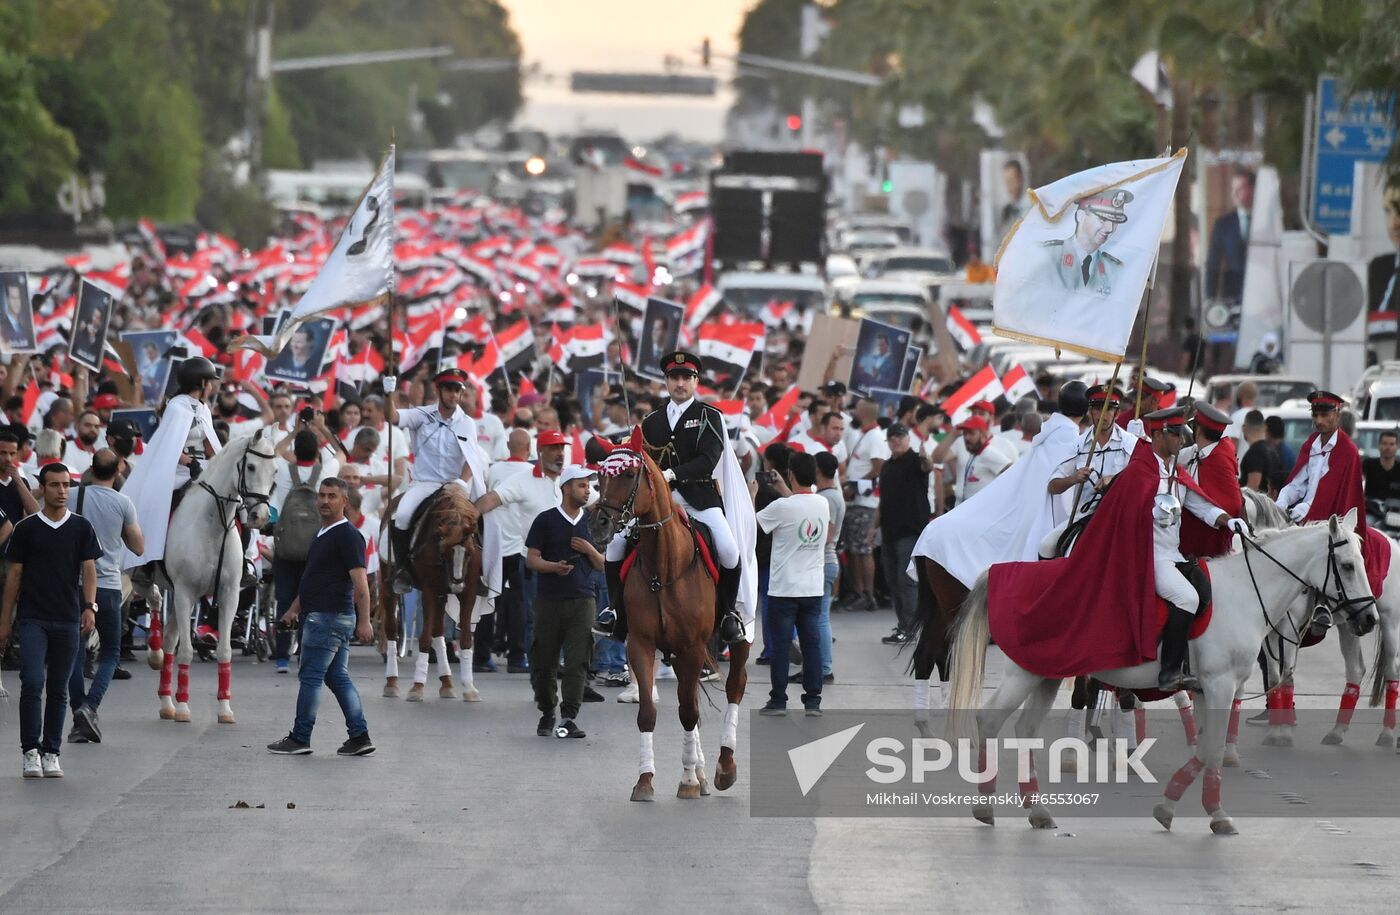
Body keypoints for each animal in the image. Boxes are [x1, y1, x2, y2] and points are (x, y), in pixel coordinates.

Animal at [135, 433, 277, 727]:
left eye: (275, 471)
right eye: (251, 467)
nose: (260, 517)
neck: (211, 525)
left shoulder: (228, 594)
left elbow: (224, 650)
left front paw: (224, 709)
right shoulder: (185, 592)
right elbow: (187, 651)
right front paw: (184, 707)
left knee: (169, 638)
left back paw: (166, 702)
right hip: (147, 582)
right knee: (153, 599)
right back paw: (155, 656)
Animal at [380, 486, 484, 702]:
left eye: (470, 552)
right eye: (443, 551)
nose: (456, 585)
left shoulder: (468, 591)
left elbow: (465, 638)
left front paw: (469, 688)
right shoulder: (429, 590)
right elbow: (424, 638)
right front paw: (417, 687)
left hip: (442, 595)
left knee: (438, 631)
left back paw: (447, 684)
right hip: (389, 586)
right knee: (392, 630)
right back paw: (391, 683)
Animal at [588, 436, 750, 805]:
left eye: (628, 473)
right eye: (600, 476)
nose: (599, 524)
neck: (662, 569)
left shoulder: (691, 647)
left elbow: (688, 712)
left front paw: (687, 780)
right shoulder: (642, 644)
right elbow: (650, 713)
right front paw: (645, 780)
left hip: (736, 640)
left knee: (734, 688)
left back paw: (723, 767)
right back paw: (703, 772)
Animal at [940, 514, 1377, 839]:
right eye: (1348, 566)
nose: (1369, 619)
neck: (1243, 594)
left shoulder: (1206, 690)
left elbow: (1204, 747)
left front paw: (1170, 804)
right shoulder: (1219, 686)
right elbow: (1212, 749)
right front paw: (1216, 814)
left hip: (1045, 674)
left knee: (1026, 730)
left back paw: (1037, 810)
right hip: (1024, 673)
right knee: (989, 721)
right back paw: (985, 806)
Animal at [1248, 492, 1400, 749]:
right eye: (1348, 566)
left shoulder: (1290, 628)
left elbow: (1287, 677)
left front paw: (1284, 733)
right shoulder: (1270, 632)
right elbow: (1275, 677)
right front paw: (1274, 731)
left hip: (1389, 621)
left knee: (1392, 671)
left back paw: (1388, 735)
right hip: (1352, 622)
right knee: (1355, 670)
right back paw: (1337, 731)